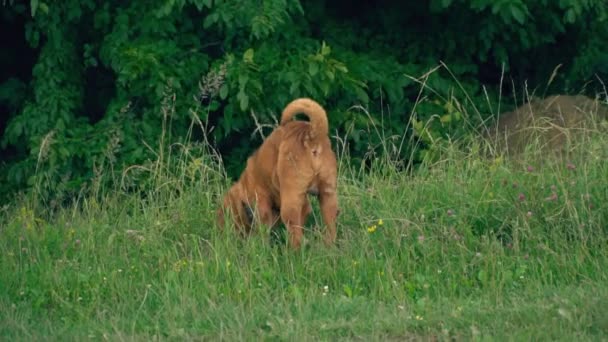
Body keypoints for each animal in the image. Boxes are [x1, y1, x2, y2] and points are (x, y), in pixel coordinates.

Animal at [218, 97, 340, 247]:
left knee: (294, 230)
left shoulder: (262, 202)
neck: (246, 184)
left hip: (290, 203)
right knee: (330, 222)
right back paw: (328, 246)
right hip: (327, 194)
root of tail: (312, 135)